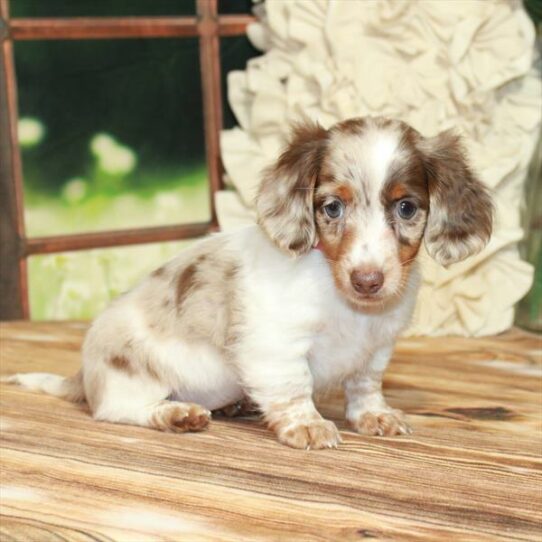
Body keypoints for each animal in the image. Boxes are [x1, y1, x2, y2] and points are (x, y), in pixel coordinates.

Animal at [4, 118, 496, 450]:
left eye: (407, 208)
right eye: (332, 208)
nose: (368, 281)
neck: (342, 299)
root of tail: (84, 376)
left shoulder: (376, 349)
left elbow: (365, 386)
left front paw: (374, 417)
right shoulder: (276, 344)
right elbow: (294, 385)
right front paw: (307, 425)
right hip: (130, 377)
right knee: (119, 411)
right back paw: (176, 413)